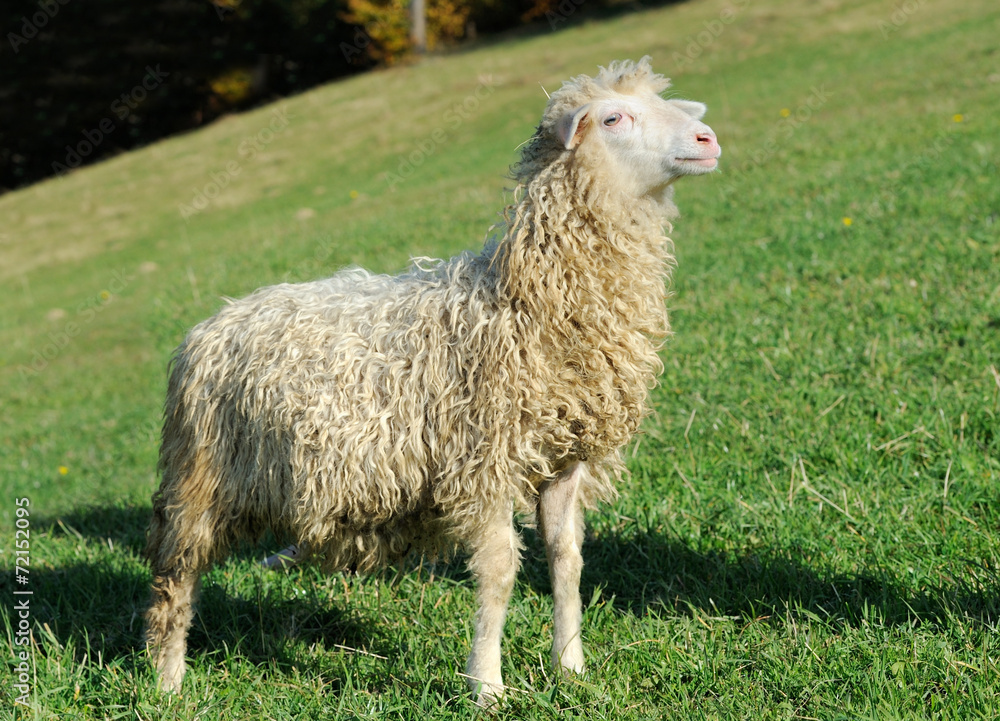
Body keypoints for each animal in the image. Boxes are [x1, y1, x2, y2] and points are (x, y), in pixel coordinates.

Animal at [145, 56, 720, 704]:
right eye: (614, 118)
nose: (708, 139)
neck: (525, 303)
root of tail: (207, 326)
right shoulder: (482, 461)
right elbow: (498, 572)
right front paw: (487, 685)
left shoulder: (562, 458)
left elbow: (566, 559)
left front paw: (569, 666)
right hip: (200, 479)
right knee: (174, 579)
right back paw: (167, 683)